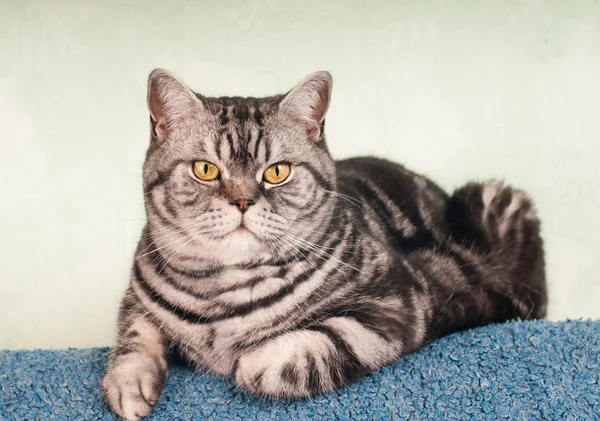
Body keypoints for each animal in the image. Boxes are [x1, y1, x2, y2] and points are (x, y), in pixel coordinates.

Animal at [104, 67, 548, 418]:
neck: (222, 295)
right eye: (205, 169)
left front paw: (247, 361)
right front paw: (128, 384)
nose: (243, 201)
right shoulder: (136, 296)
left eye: (277, 172)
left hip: (494, 201)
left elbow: (302, 351)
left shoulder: (397, 303)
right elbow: (134, 336)